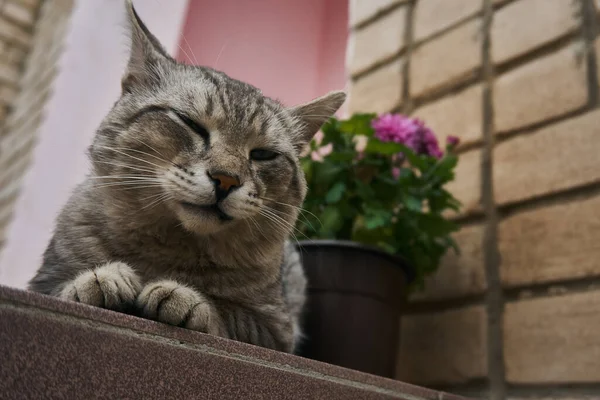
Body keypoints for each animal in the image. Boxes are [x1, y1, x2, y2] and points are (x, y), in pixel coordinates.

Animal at [28, 0, 344, 354]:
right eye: (191, 123)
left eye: (263, 154)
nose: (226, 179)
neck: (165, 247)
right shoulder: (43, 280)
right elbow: (64, 285)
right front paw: (98, 279)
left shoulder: (274, 330)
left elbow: (228, 313)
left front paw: (185, 298)